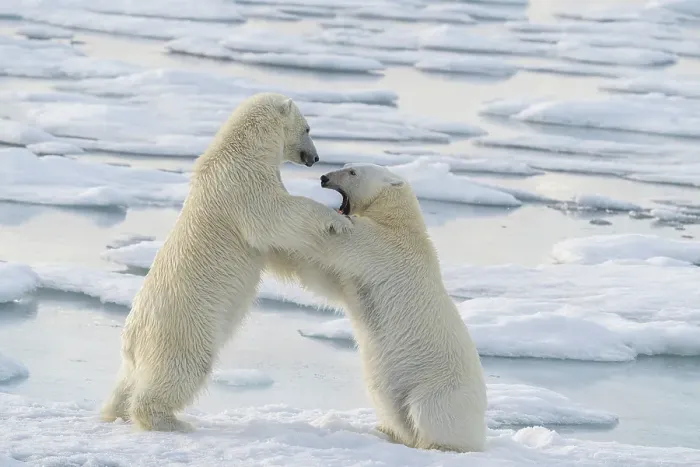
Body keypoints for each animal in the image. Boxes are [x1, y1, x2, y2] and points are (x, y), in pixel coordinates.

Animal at [100, 92, 353, 432]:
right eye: (309, 128)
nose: (315, 158)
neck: (241, 148)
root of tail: (132, 337)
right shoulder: (242, 182)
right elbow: (276, 215)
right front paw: (337, 221)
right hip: (184, 329)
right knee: (182, 369)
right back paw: (169, 421)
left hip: (140, 350)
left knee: (126, 381)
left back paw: (113, 413)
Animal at [267, 163, 487, 453]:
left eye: (352, 172)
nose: (324, 177)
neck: (398, 220)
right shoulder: (358, 271)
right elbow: (322, 278)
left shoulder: (381, 244)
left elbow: (340, 243)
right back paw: (385, 431)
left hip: (438, 387)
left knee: (428, 412)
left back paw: (436, 446)